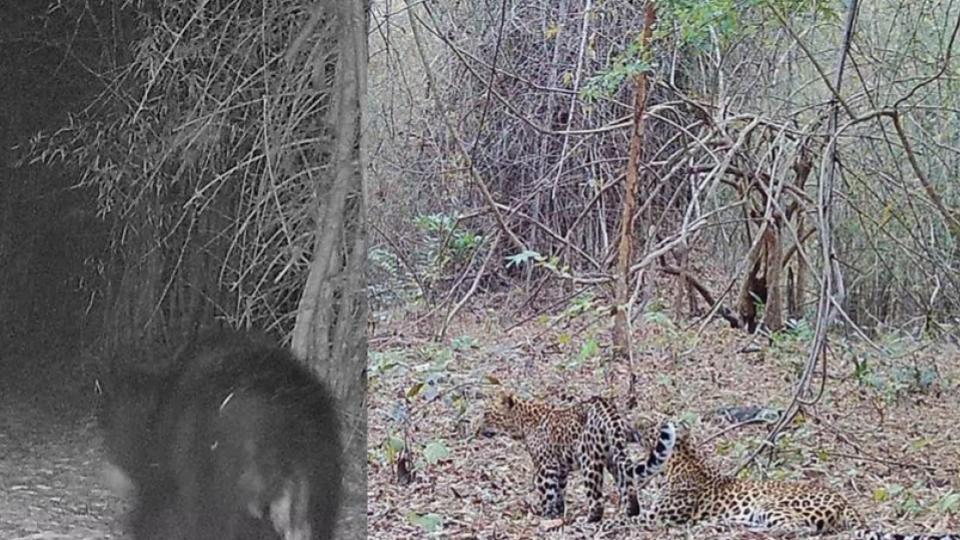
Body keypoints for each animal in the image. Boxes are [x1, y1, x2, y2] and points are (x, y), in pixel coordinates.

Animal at [477, 391, 676, 523]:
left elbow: (547, 492)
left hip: (589, 460)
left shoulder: (546, 466)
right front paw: (558, 512)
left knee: (597, 500)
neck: (522, 422)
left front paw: (545, 515)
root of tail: (607, 408)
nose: (476, 430)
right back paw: (629, 513)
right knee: (628, 487)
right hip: (615, 456)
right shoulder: (561, 468)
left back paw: (589, 520)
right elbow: (560, 490)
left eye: (487, 414)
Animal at [598, 427, 958, 540]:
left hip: (773, 505)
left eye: (647, 428)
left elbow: (628, 519)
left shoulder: (660, 516)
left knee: (799, 528)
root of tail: (847, 502)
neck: (684, 461)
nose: (632, 428)